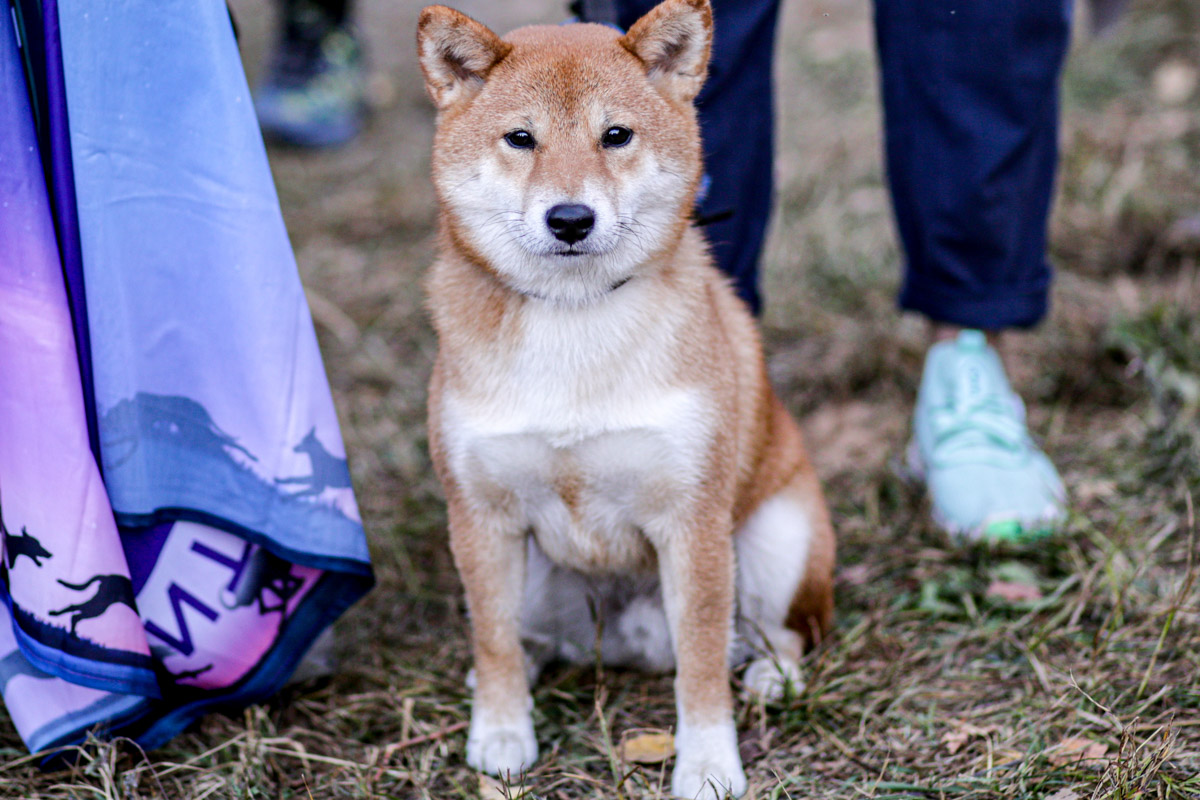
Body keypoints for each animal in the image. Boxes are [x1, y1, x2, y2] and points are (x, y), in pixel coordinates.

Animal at [415, 3, 835, 796]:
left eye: (616, 135)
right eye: (521, 138)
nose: (570, 218)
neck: (573, 317)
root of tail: (630, 644)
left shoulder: (692, 523)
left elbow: (701, 663)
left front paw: (708, 763)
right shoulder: (480, 517)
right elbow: (492, 637)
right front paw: (501, 730)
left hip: (778, 539)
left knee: (780, 632)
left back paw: (772, 675)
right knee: (526, 633)